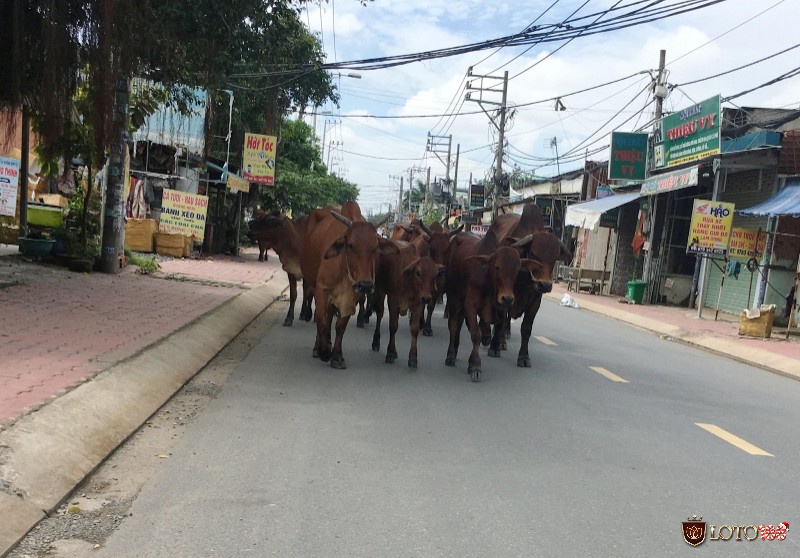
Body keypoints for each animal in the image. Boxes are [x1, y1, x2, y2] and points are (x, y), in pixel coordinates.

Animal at [300, 203, 400, 370]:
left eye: (375, 247)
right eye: (351, 245)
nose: (365, 285)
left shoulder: (354, 296)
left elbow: (340, 326)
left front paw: (336, 356)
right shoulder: (322, 289)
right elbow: (320, 320)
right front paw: (324, 352)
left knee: (330, 316)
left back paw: (328, 342)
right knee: (323, 317)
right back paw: (318, 346)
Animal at [370, 240, 444, 368]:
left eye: (434, 275)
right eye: (418, 273)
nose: (427, 298)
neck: (409, 282)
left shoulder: (418, 305)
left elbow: (414, 329)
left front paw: (413, 358)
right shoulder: (392, 302)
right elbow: (393, 327)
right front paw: (390, 353)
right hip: (380, 291)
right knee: (379, 314)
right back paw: (376, 341)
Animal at [440, 230, 540, 382]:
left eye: (517, 270)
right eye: (497, 267)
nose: (507, 298)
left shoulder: (493, 310)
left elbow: (483, 331)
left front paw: (471, 363)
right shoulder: (470, 304)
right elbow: (475, 334)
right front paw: (476, 367)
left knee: (459, 323)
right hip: (453, 296)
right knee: (453, 324)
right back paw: (450, 355)